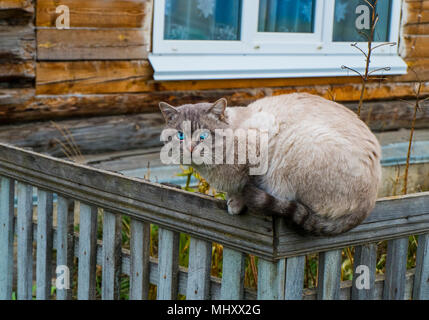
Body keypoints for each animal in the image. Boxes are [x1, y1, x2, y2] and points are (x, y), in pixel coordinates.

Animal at [159, 92, 380, 235]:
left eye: (203, 136)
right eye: (180, 135)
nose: (190, 149)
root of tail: (368, 205)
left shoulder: (259, 149)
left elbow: (247, 183)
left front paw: (236, 203)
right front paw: (231, 198)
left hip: (295, 145)